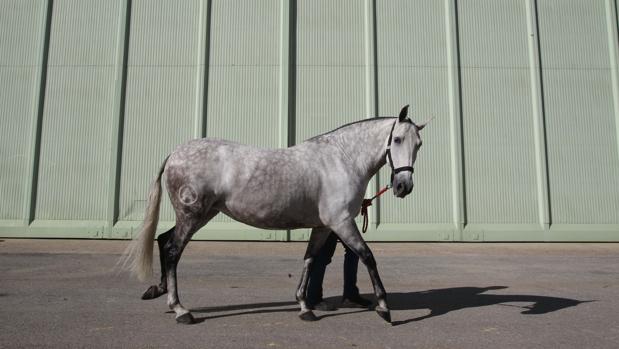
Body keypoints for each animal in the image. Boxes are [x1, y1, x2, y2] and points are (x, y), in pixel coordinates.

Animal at [123, 104, 428, 324]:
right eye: (397, 139)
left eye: (419, 144)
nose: (404, 186)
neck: (341, 160)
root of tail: (176, 153)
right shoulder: (342, 223)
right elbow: (367, 257)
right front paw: (384, 308)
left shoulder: (323, 227)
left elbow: (309, 259)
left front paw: (305, 307)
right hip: (192, 214)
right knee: (173, 250)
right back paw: (181, 310)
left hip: (201, 215)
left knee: (164, 240)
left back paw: (160, 291)